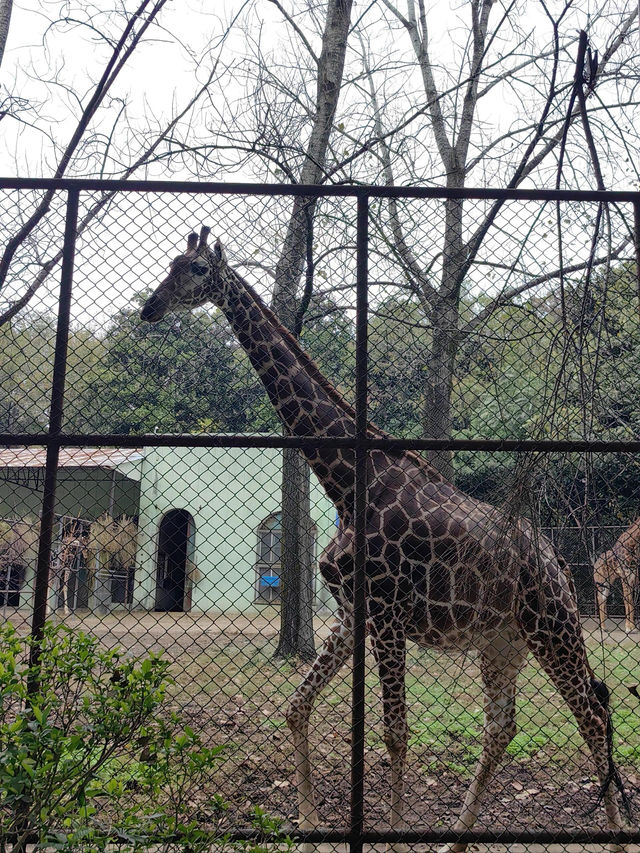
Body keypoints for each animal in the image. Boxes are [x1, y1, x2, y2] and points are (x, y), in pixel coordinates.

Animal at [141, 228, 632, 852]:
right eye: (170, 264)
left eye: (197, 269)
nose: (150, 307)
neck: (347, 483)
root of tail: (554, 560)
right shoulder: (354, 612)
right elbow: (297, 708)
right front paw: (310, 822)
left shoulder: (388, 612)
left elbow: (395, 732)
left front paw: (394, 836)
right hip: (503, 642)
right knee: (503, 727)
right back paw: (454, 840)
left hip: (553, 625)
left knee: (591, 714)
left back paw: (612, 836)